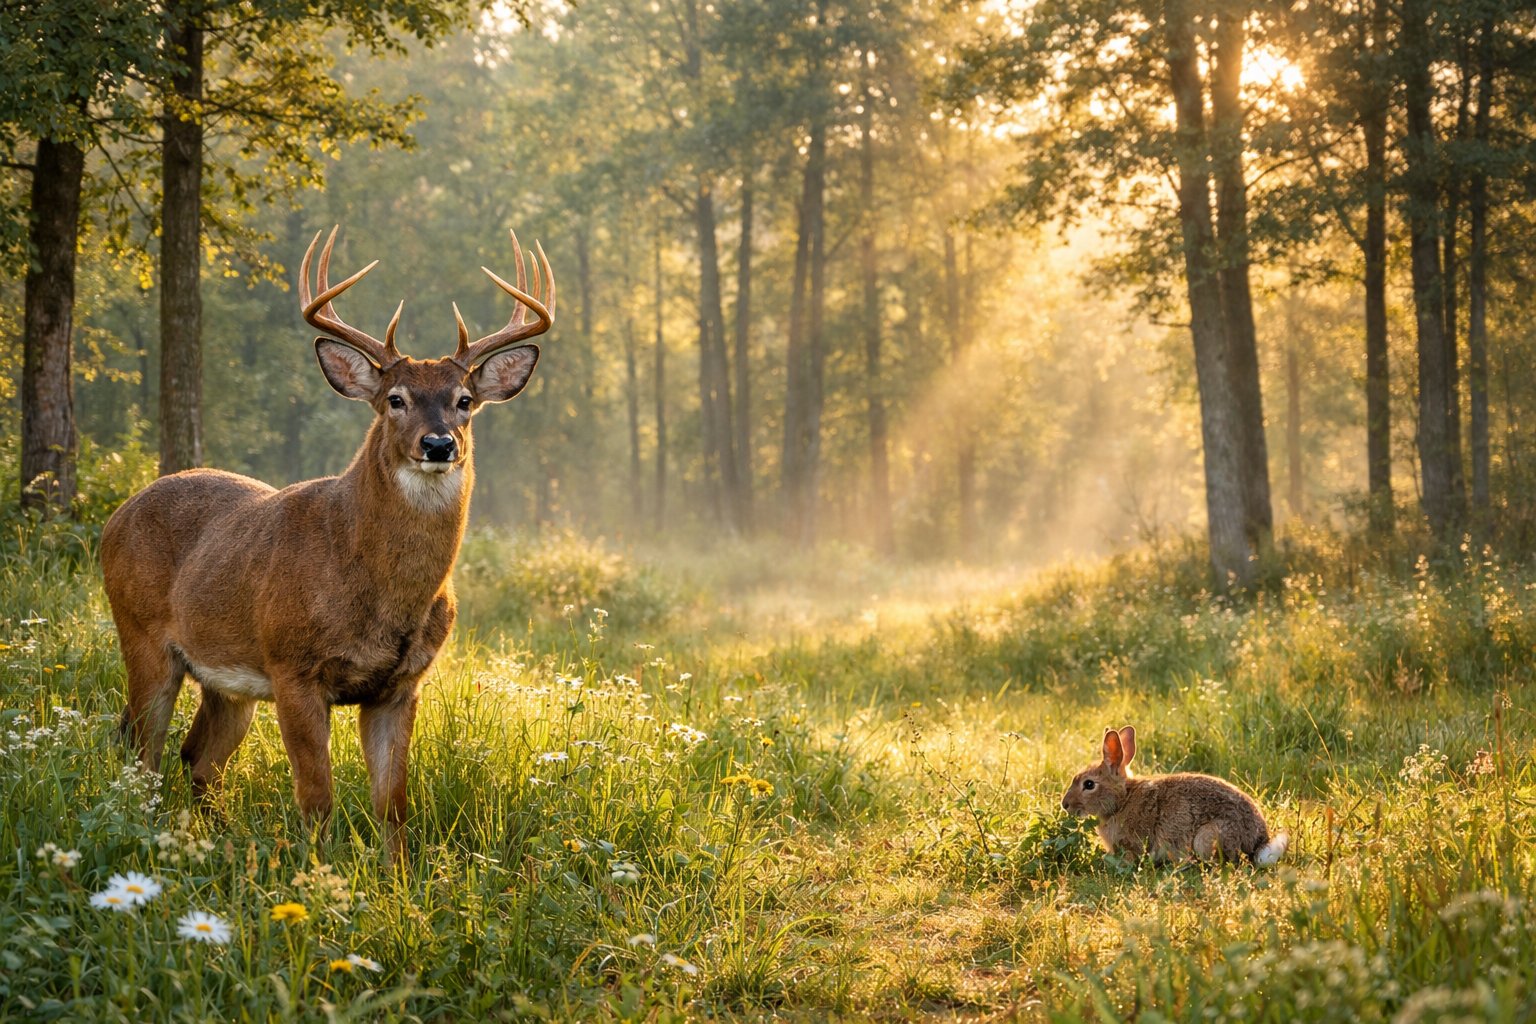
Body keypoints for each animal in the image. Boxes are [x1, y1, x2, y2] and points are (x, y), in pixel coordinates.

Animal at [101, 226, 554, 861]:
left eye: (464, 400)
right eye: (395, 399)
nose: (439, 444)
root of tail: (116, 517)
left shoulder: (401, 684)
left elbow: (393, 806)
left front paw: (397, 882)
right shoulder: (293, 666)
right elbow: (316, 799)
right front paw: (319, 876)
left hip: (226, 681)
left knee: (198, 758)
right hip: (141, 633)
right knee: (143, 752)